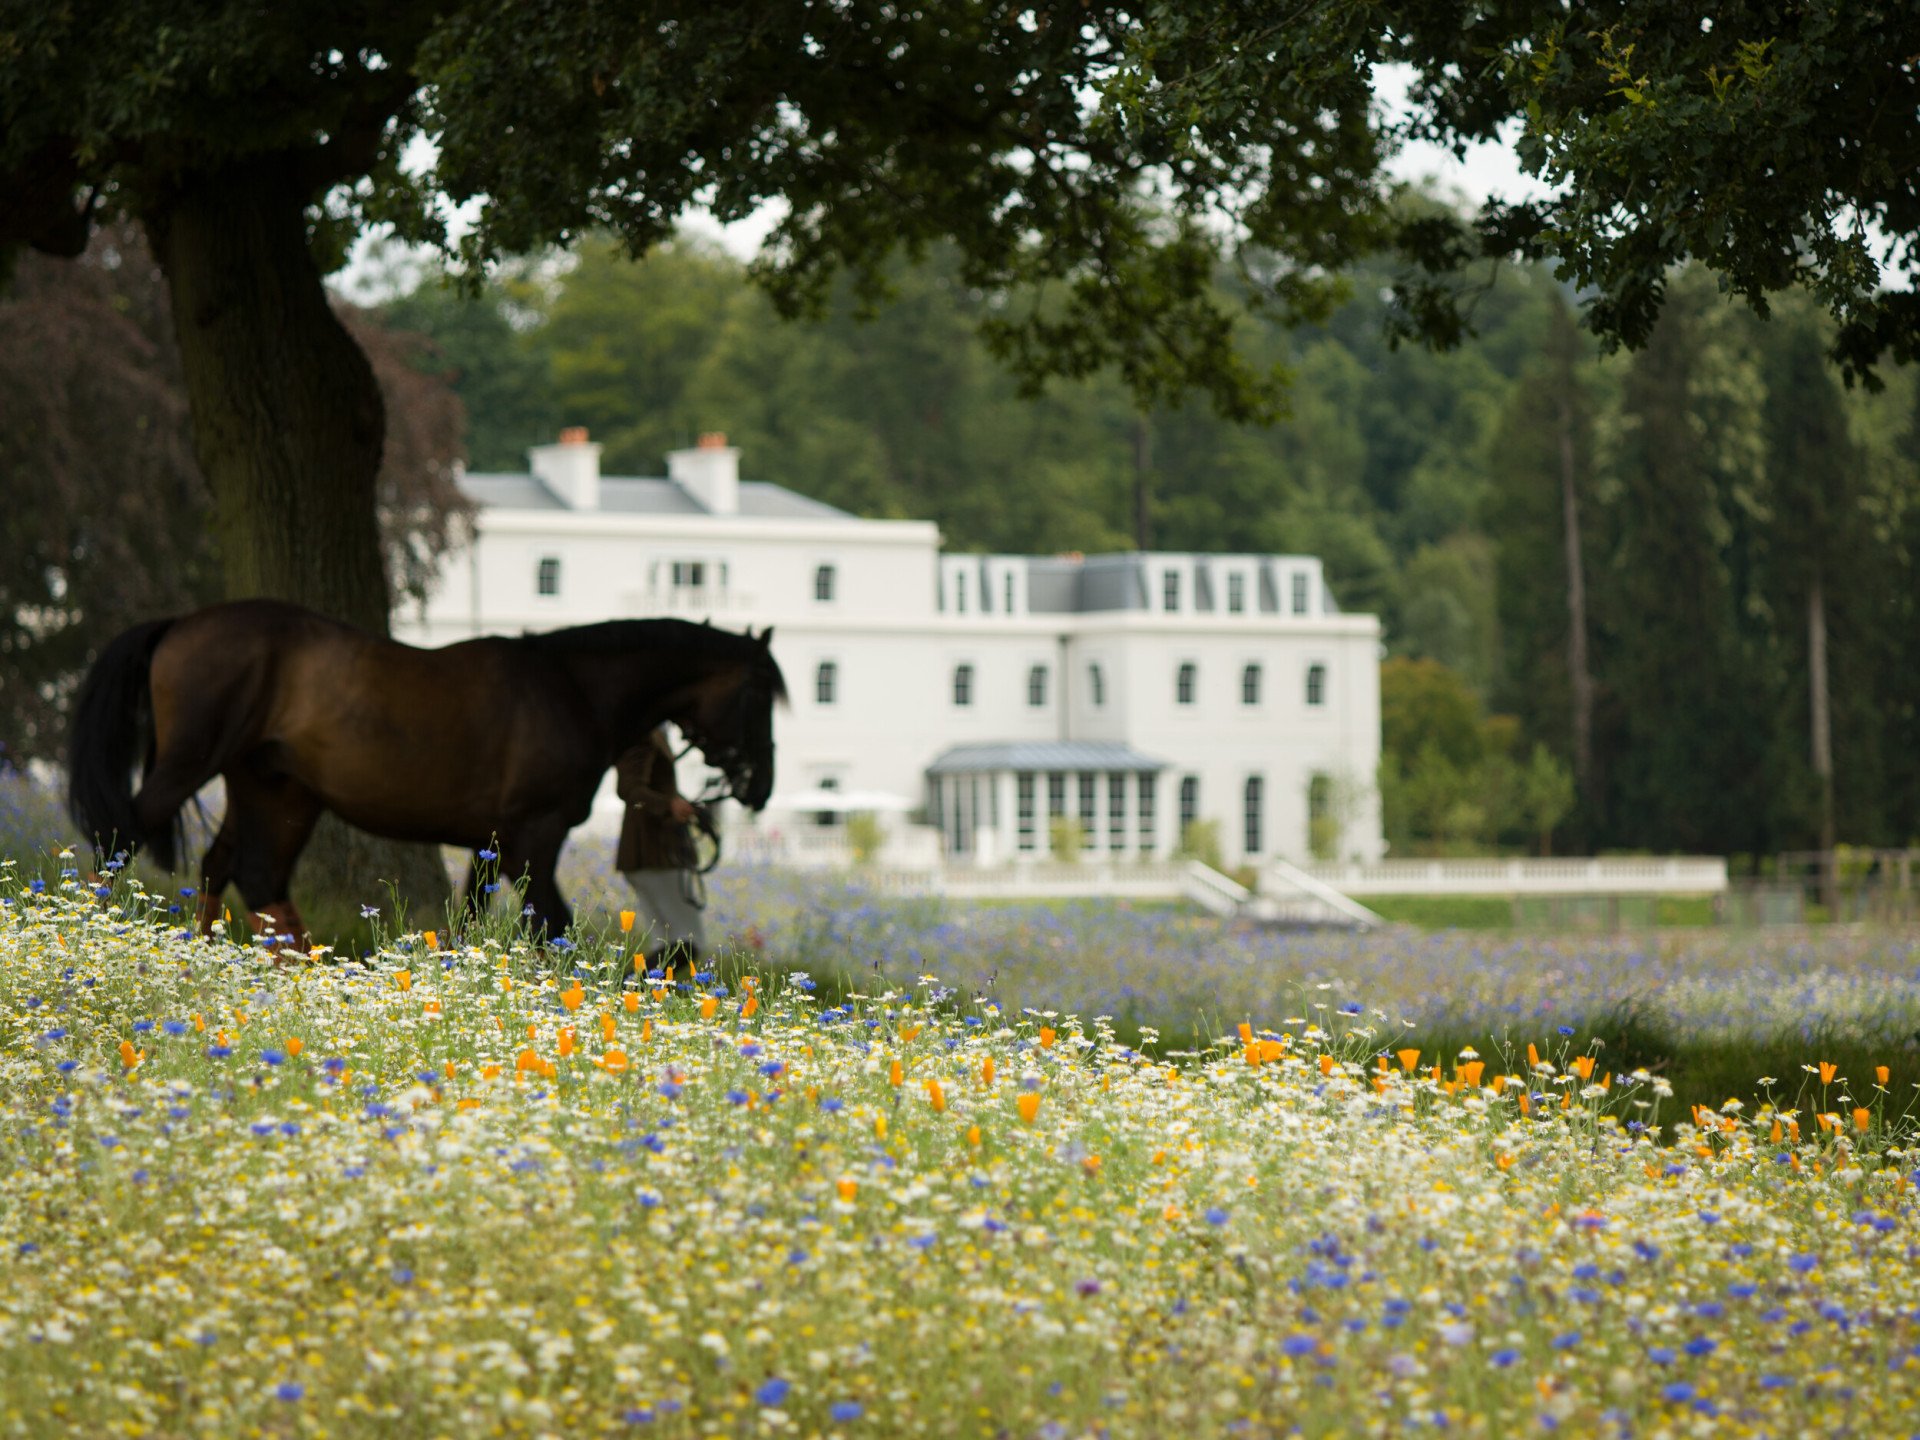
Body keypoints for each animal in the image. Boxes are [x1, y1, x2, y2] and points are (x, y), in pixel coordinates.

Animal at [67, 599, 785, 949]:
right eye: (758, 693)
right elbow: (552, 923)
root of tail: (180, 625)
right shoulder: (534, 834)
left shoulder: (493, 844)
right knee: (122, 836)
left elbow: (474, 919)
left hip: (274, 790)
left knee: (242, 871)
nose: (761, 787)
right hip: (196, 767)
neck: (571, 689)